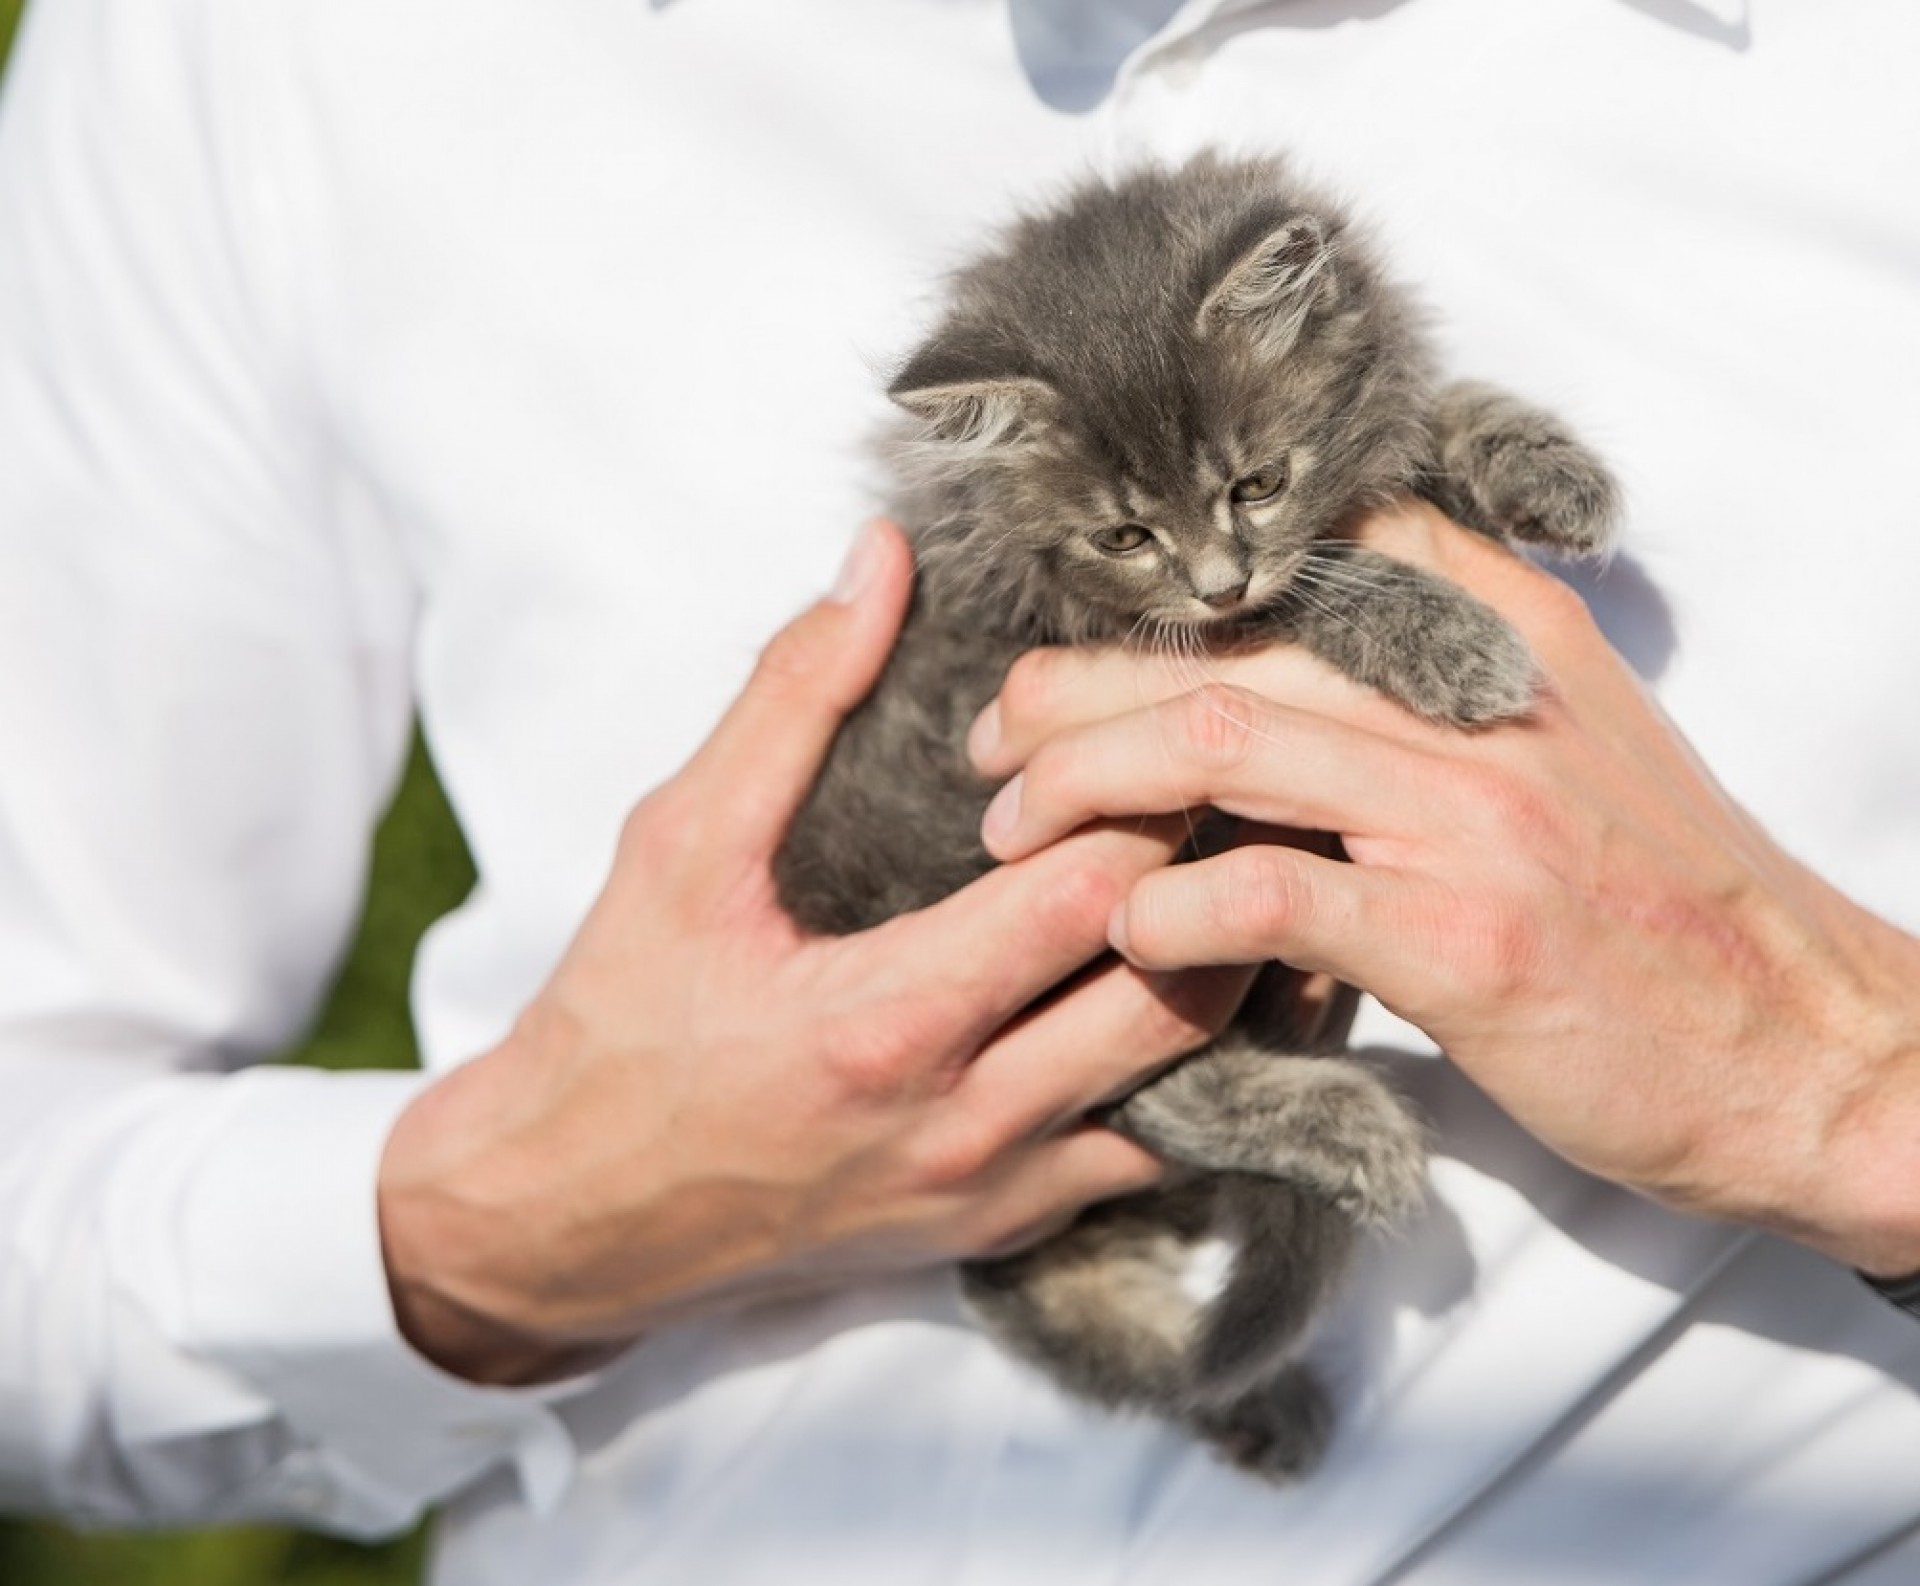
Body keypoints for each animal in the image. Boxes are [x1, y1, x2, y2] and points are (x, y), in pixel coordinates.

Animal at [771, 154, 1612, 1474]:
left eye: (1257, 482)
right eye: (1124, 533)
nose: (1219, 580)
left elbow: (1419, 421)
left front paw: (1538, 461)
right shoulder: (1072, 629)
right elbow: (1309, 591)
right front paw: (1441, 632)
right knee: (1127, 1082)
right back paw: (1344, 1126)